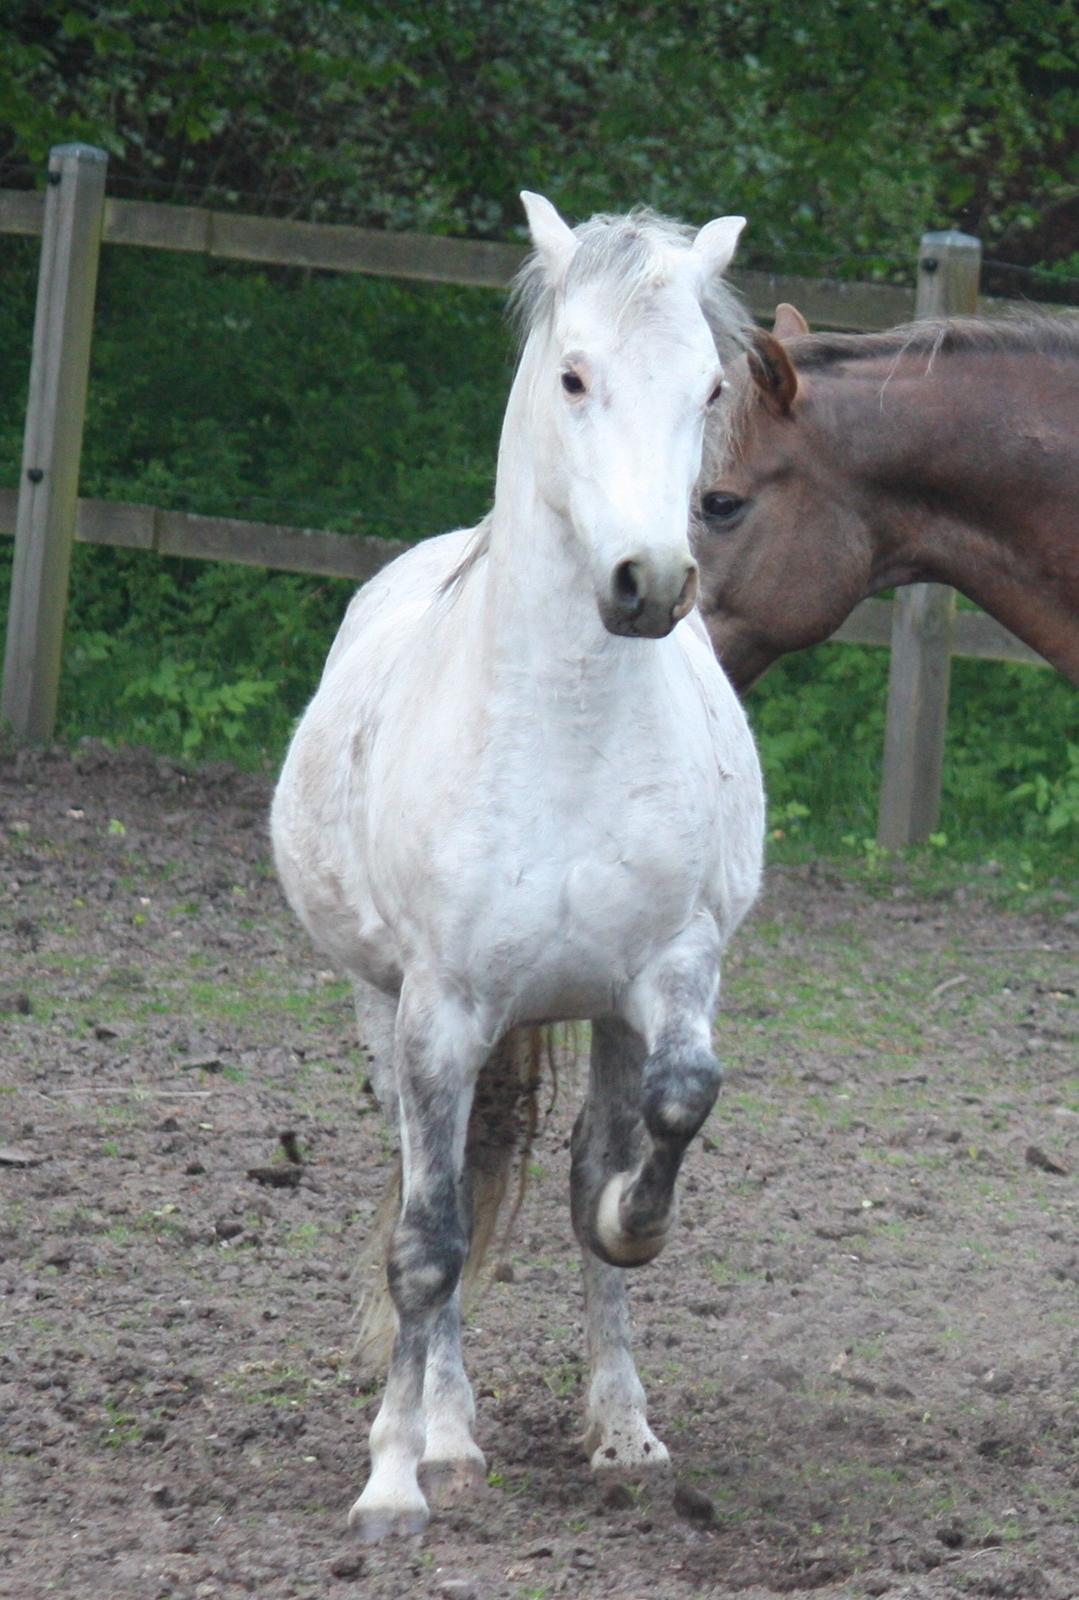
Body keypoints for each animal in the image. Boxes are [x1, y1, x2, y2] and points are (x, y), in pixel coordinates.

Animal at [273, 193, 762, 1542]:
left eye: (710, 386)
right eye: (573, 375)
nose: (649, 582)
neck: (564, 730)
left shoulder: (666, 975)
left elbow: (657, 1128)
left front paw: (630, 1235)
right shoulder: (440, 1008)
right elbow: (426, 1239)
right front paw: (395, 1480)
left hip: (591, 1009)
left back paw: (619, 1425)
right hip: (385, 1009)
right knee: (429, 1189)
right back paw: (445, 1430)